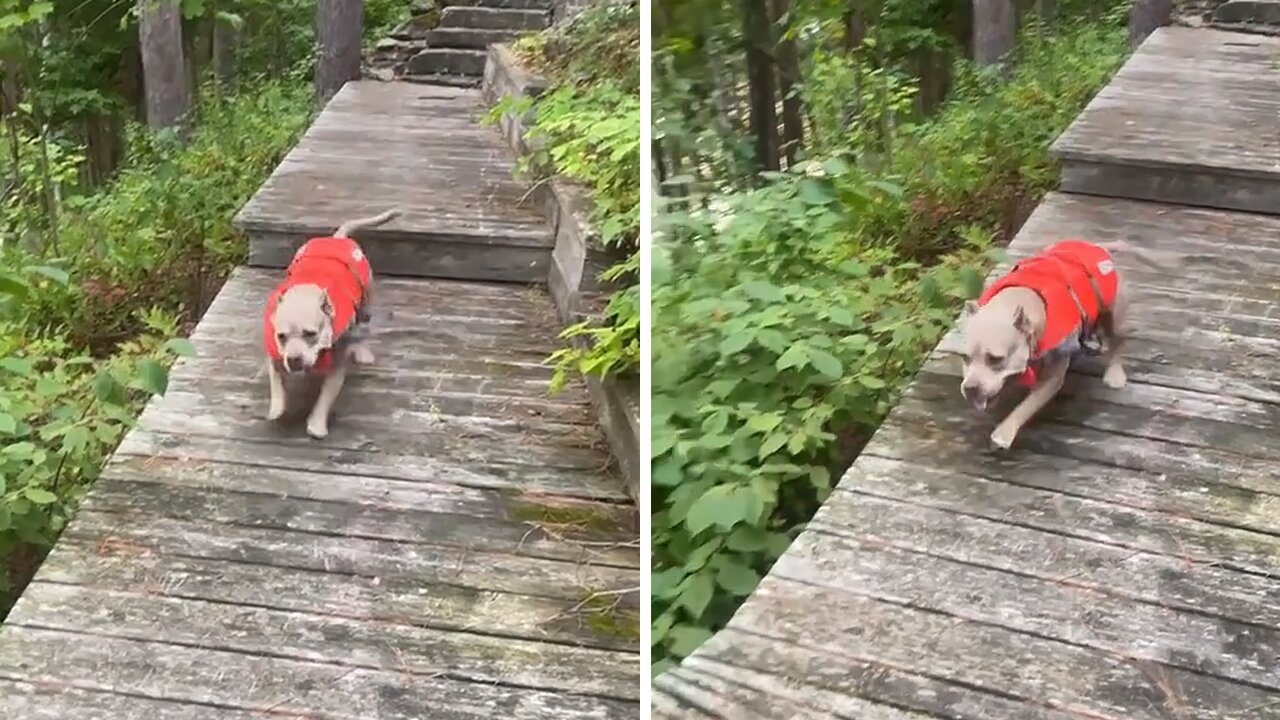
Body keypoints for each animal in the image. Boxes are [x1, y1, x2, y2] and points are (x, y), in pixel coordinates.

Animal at [261, 208, 396, 438]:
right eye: (281, 336)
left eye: (310, 334)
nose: (294, 360)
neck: (307, 286)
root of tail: (337, 239)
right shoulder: (275, 354)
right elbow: (276, 379)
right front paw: (276, 408)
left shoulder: (337, 364)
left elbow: (326, 397)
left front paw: (317, 425)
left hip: (366, 302)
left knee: (364, 326)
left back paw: (363, 352)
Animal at [962, 238, 1131, 445]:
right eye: (964, 358)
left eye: (995, 359)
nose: (970, 388)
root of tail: (1095, 246)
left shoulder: (1053, 375)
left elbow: (1028, 404)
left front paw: (1004, 432)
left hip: (1113, 312)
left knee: (1117, 342)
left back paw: (1115, 373)